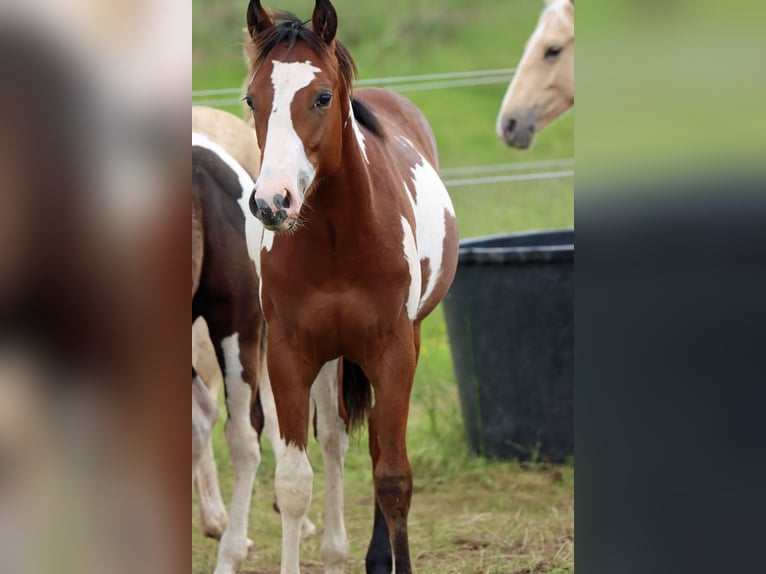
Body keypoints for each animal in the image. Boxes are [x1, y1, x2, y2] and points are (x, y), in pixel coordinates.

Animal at [243, 2, 460, 572]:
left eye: (321, 97)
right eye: (252, 99)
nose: (272, 202)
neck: (337, 243)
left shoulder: (393, 353)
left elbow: (393, 477)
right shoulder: (289, 356)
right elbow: (294, 483)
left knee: (378, 448)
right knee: (336, 440)